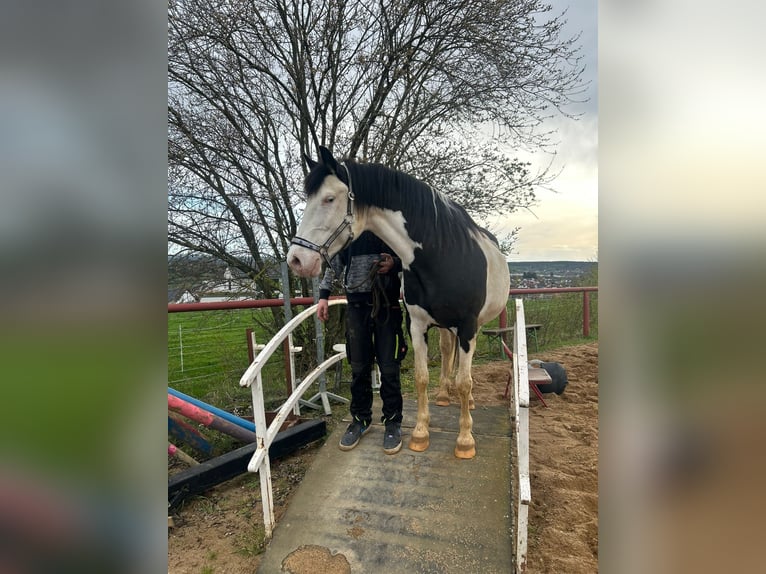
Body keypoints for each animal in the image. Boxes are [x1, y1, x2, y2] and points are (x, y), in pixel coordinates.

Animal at [288, 147, 510, 460]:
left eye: (329, 198)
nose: (296, 259)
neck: (442, 255)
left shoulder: (467, 327)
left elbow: (465, 382)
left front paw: (465, 440)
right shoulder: (416, 325)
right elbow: (421, 377)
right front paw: (420, 433)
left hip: (471, 326)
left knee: (462, 369)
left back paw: (469, 402)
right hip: (444, 327)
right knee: (447, 351)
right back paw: (445, 395)